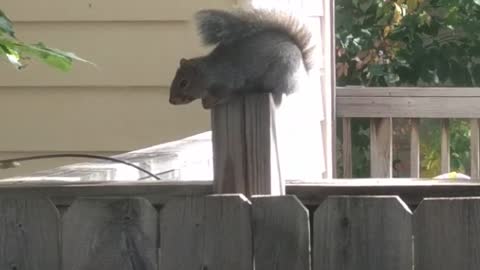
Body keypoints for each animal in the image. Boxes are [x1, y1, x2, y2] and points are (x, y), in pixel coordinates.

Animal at [169, 8, 316, 109]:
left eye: (184, 83)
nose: (171, 101)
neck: (209, 73)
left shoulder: (227, 81)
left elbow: (224, 94)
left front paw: (209, 102)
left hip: (284, 70)